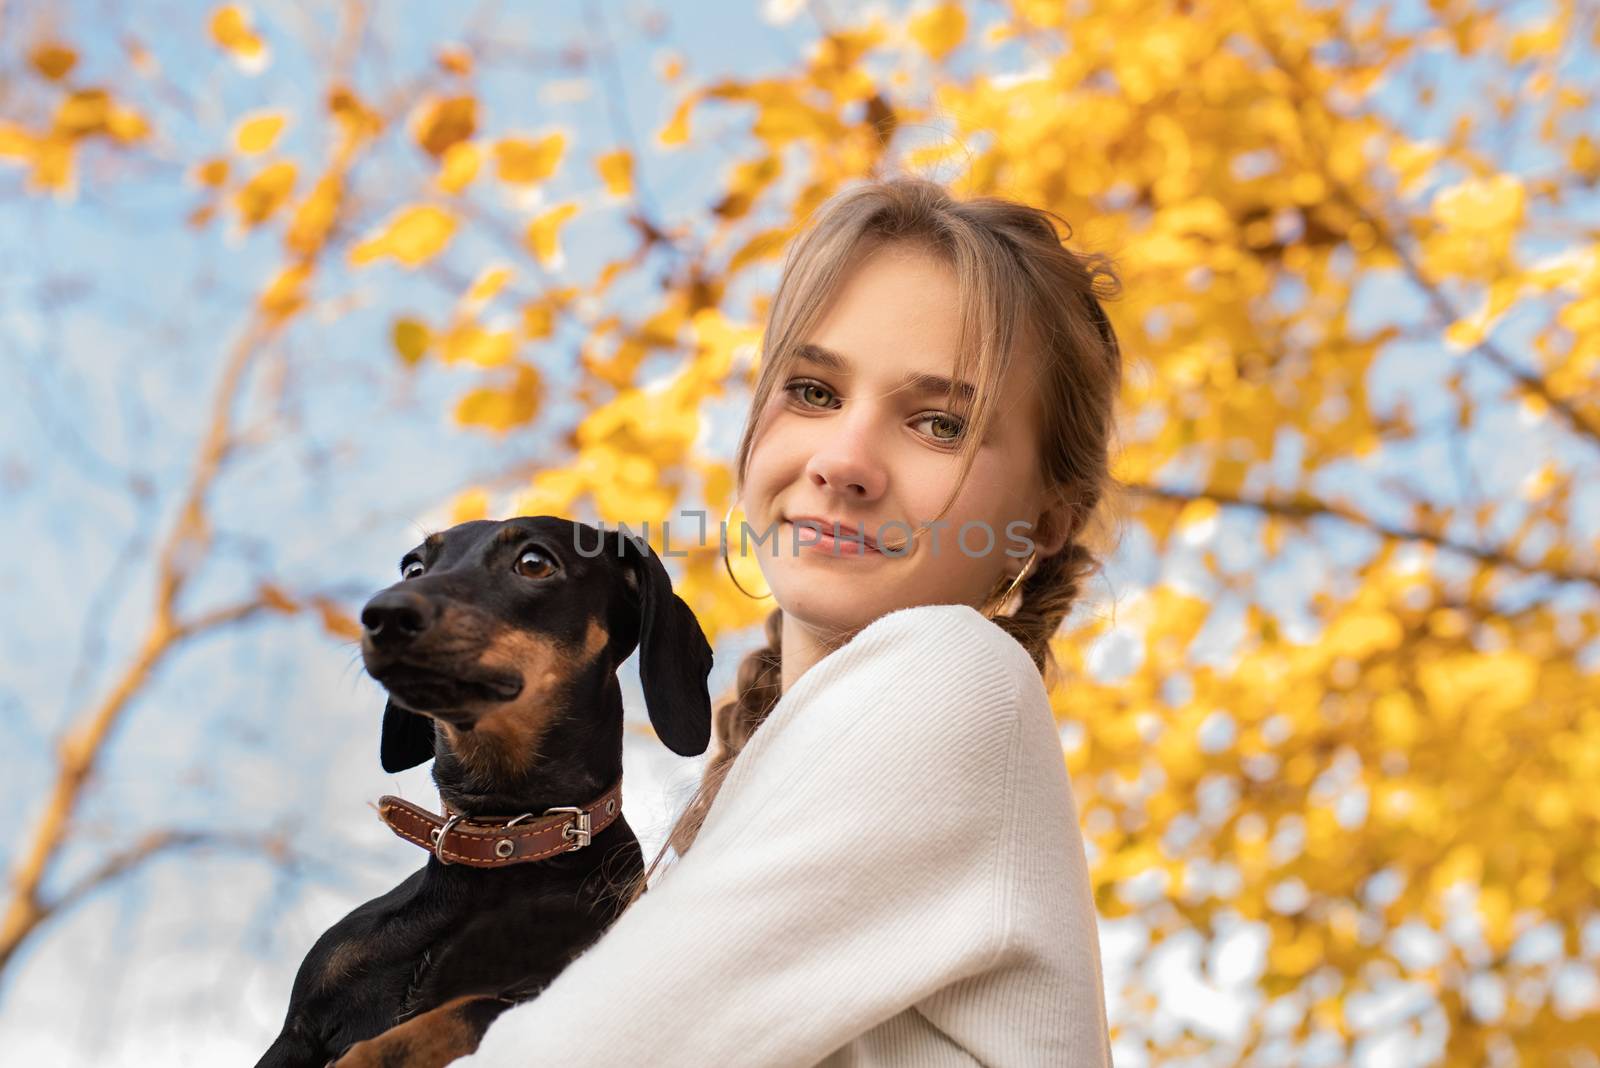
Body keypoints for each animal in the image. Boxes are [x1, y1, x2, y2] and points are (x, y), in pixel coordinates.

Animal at [257, 511, 713, 1061]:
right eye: (413, 567)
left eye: (534, 562)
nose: (382, 614)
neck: (503, 841)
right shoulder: (296, 1029)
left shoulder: (546, 985)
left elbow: (447, 1017)